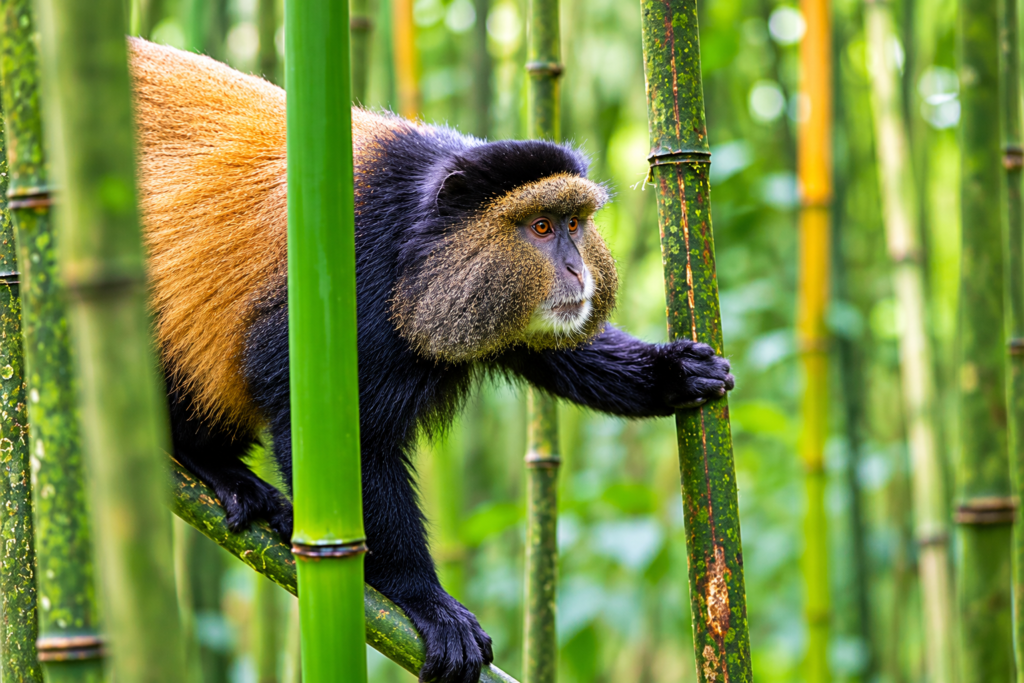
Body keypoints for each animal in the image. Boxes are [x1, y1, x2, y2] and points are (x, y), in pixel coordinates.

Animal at [128, 38, 734, 683]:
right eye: (541, 227)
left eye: (575, 224)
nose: (578, 271)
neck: (418, 232)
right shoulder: (356, 289)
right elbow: (335, 430)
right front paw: (427, 602)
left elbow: (552, 348)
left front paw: (673, 374)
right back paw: (208, 461)